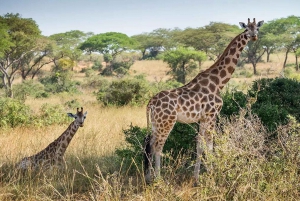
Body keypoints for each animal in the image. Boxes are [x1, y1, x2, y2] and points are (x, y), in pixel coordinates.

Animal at [144, 18, 264, 183]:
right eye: (247, 29)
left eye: (257, 29)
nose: (254, 37)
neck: (219, 82)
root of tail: (151, 102)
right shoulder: (211, 115)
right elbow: (210, 145)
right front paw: (214, 174)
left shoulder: (202, 118)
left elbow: (200, 145)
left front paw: (197, 178)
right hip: (167, 122)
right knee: (158, 147)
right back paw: (159, 179)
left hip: (156, 123)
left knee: (149, 144)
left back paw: (149, 178)